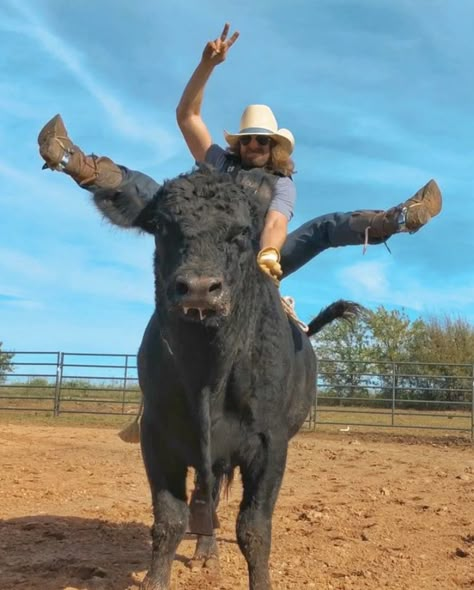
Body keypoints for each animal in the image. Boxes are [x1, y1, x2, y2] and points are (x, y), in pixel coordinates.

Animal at [92, 166, 360, 590]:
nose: (199, 288)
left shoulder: (270, 444)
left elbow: (254, 528)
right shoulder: (157, 436)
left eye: (242, 232)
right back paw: (205, 552)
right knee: (206, 498)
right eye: (161, 226)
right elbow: (170, 520)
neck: (208, 373)